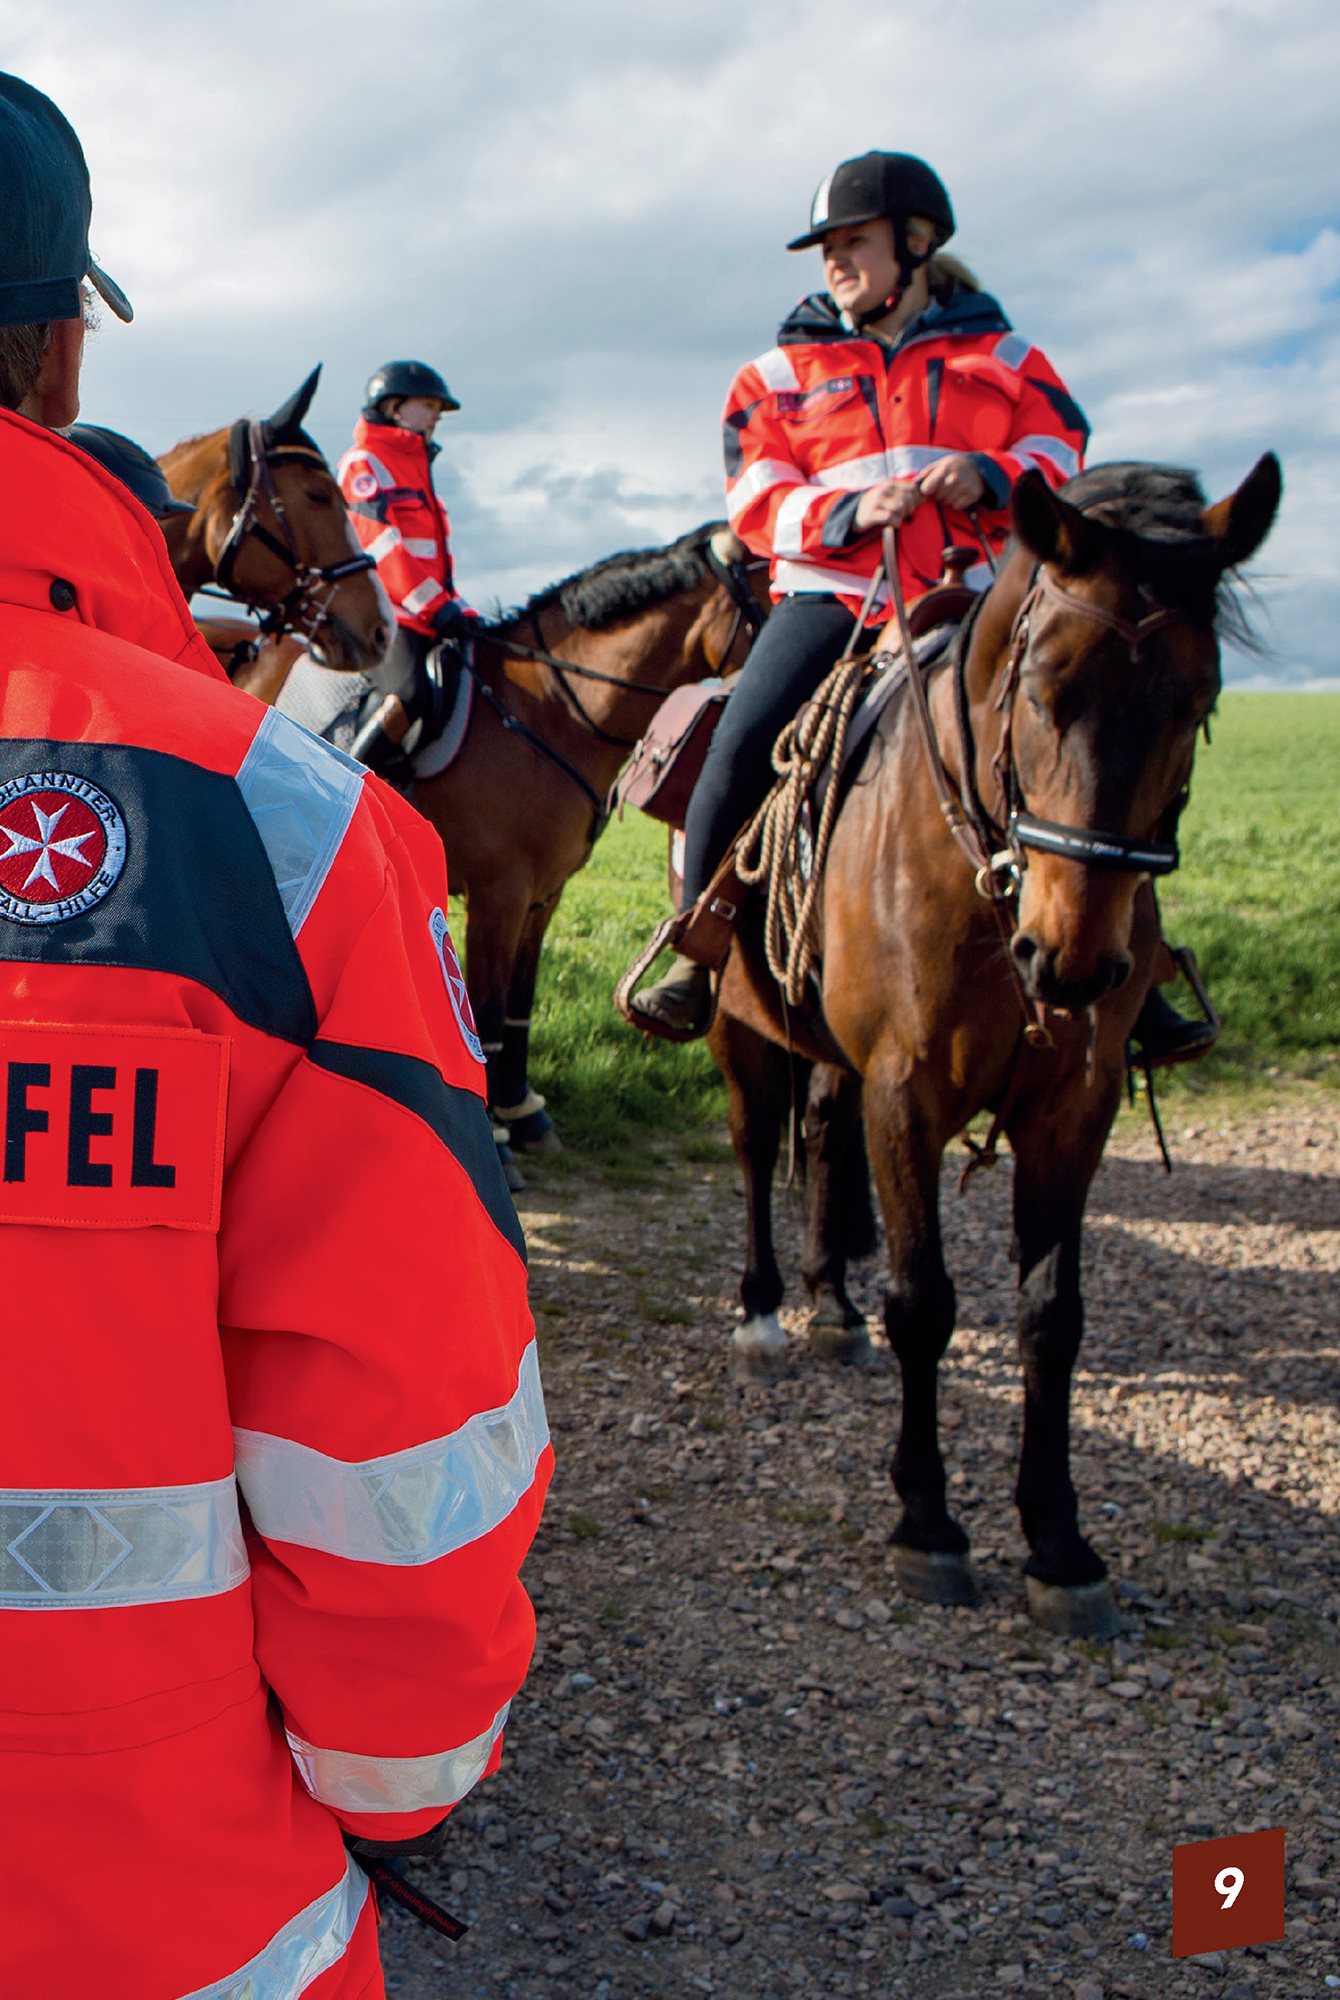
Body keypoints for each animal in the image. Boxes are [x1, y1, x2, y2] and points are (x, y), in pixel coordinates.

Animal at [708, 458, 1288, 1640]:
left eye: (1198, 701)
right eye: (1045, 687)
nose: (1070, 960)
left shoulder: (1074, 1103)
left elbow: (1050, 1317)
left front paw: (1058, 1540)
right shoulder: (907, 1089)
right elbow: (925, 1301)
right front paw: (926, 1521)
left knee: (821, 1133)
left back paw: (828, 1301)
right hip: (744, 1027)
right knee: (754, 1144)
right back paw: (765, 1310)